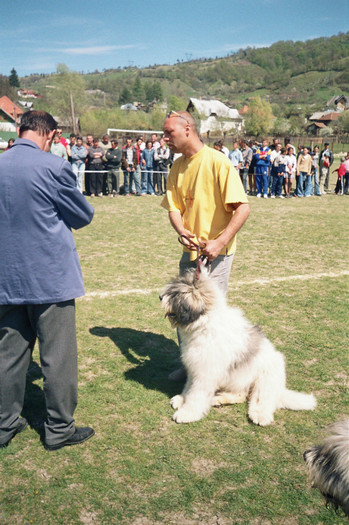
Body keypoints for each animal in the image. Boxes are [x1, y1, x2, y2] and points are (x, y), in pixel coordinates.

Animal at [160, 268, 316, 424]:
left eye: (175, 294)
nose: (160, 297)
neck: (205, 324)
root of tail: (280, 390)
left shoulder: (206, 372)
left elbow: (196, 395)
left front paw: (187, 413)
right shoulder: (194, 368)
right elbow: (189, 387)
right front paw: (181, 399)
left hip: (265, 378)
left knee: (261, 399)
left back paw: (259, 415)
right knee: (241, 395)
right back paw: (219, 399)